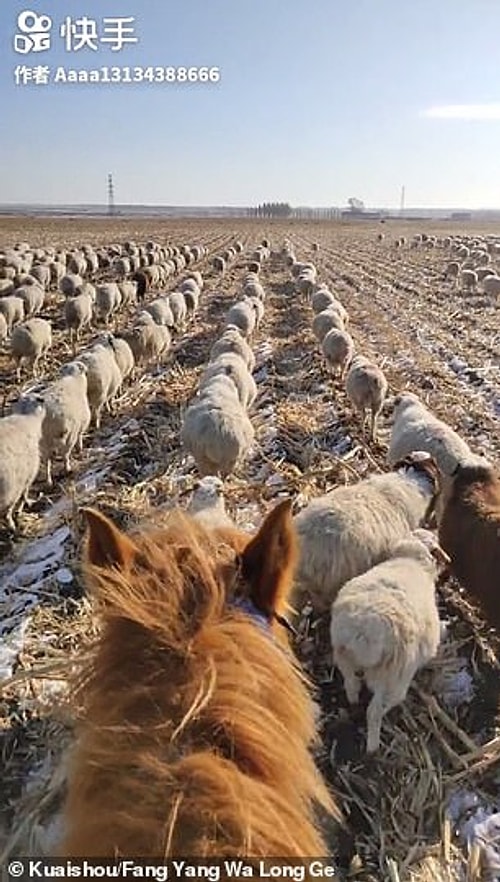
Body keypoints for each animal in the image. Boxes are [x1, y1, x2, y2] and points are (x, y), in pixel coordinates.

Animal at [0, 398, 45, 528]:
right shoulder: (28, 476)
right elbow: (24, 495)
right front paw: (20, 510)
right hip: (8, 490)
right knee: (6, 513)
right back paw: (12, 526)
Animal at [330, 524, 448, 752]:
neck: (411, 560)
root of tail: (364, 632)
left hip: (344, 657)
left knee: (351, 685)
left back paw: (353, 703)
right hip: (393, 678)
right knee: (377, 710)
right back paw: (373, 747)